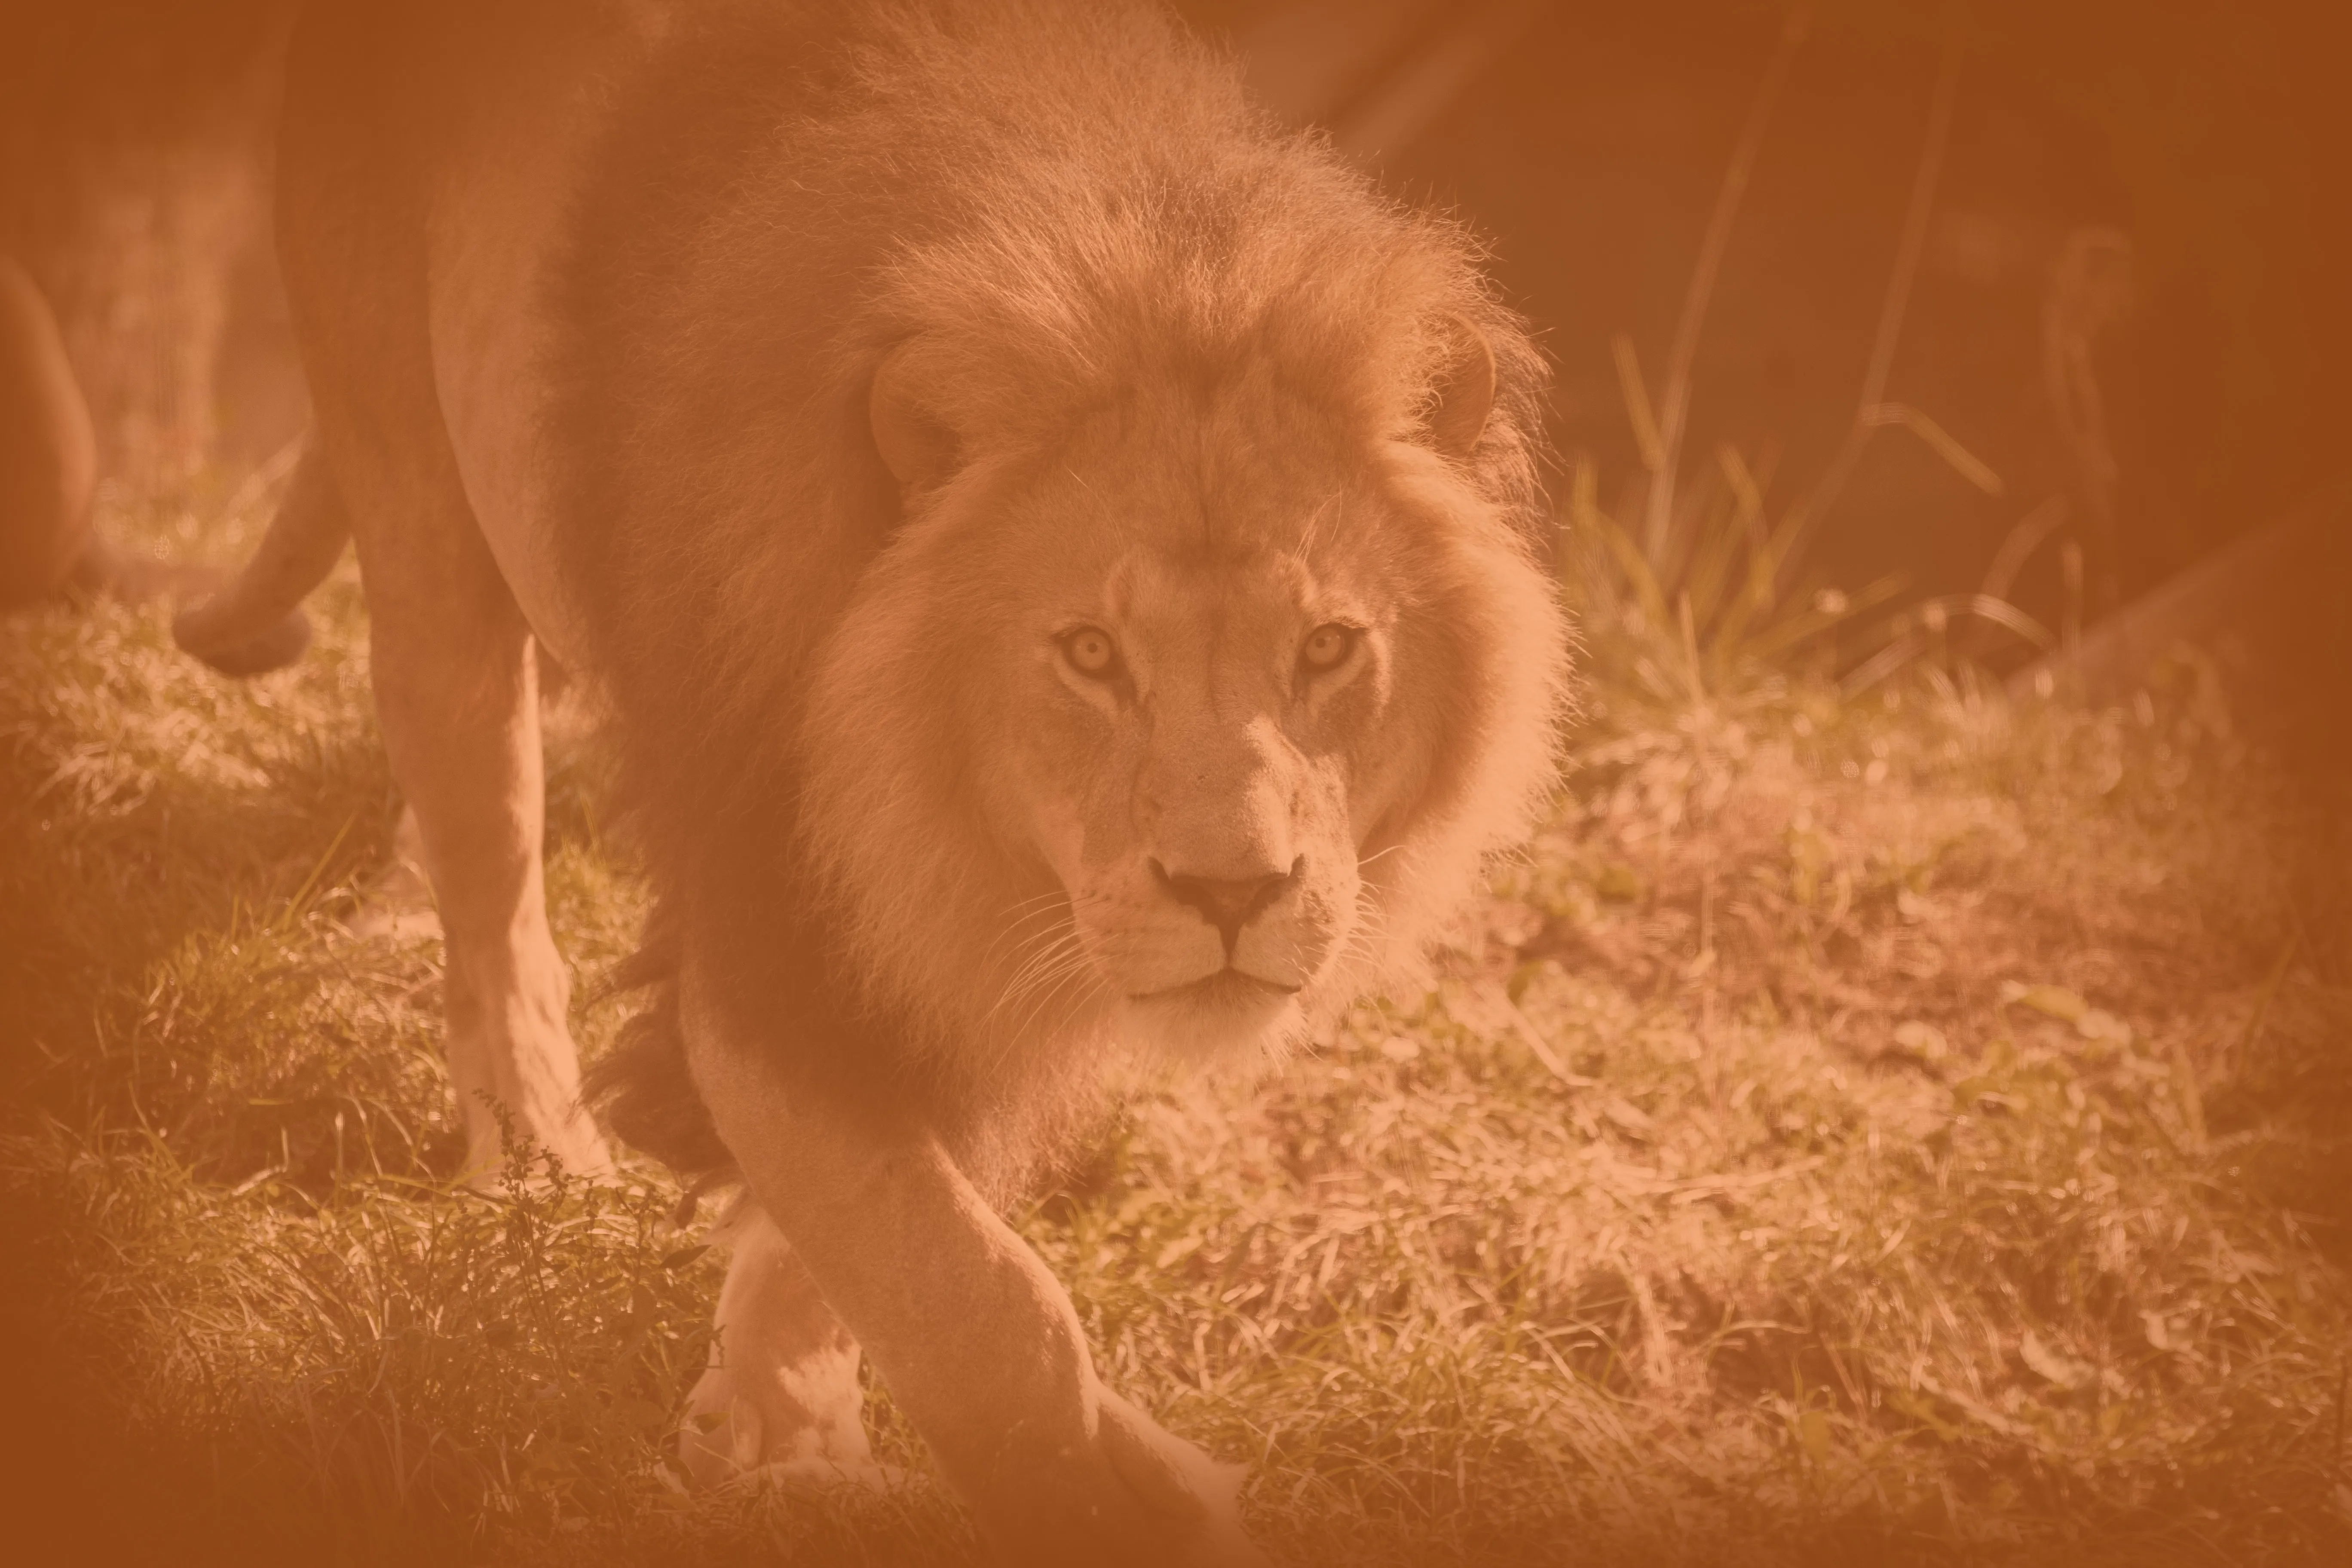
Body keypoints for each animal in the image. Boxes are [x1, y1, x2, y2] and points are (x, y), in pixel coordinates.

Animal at [176, 1, 1568, 1560]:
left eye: (1327, 647)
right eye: (1090, 653)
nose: (1233, 890)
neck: (932, 824)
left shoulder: (942, 982)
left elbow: (867, 1245)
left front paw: (781, 1438)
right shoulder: (766, 953)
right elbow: (981, 1302)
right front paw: (1110, 1493)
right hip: (416, 492)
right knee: (488, 857)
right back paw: (540, 1154)